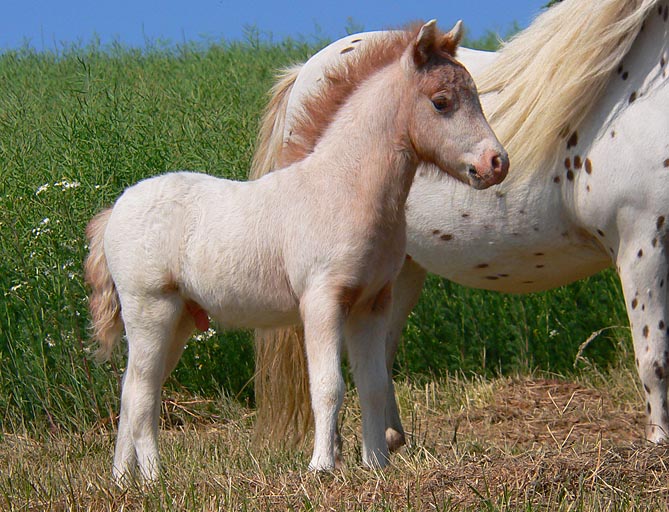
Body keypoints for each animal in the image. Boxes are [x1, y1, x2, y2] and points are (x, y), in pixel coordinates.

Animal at [250, 0, 668, 454]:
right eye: (442, 102)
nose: (495, 164)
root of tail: (302, 74)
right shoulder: (641, 245)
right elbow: (654, 359)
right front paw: (659, 442)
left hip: (397, 272)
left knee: (378, 353)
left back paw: (389, 440)